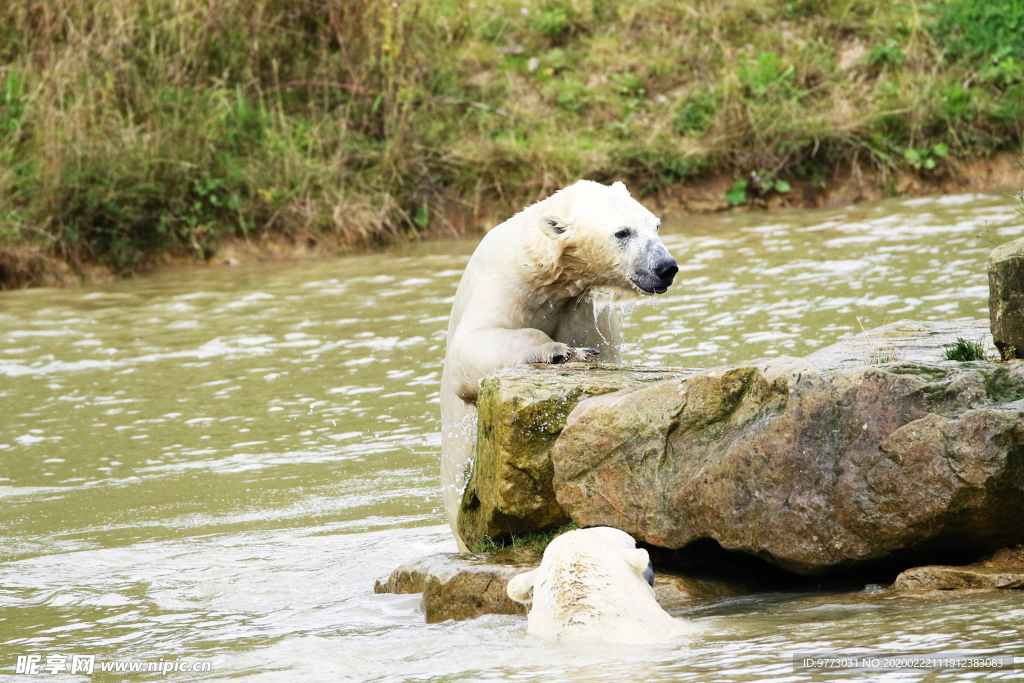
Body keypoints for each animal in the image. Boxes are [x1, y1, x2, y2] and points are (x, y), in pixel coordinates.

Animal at [440, 180, 679, 548]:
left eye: (655, 225)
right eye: (622, 232)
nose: (666, 267)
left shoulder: (582, 309)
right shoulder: (505, 281)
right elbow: (469, 346)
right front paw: (561, 352)